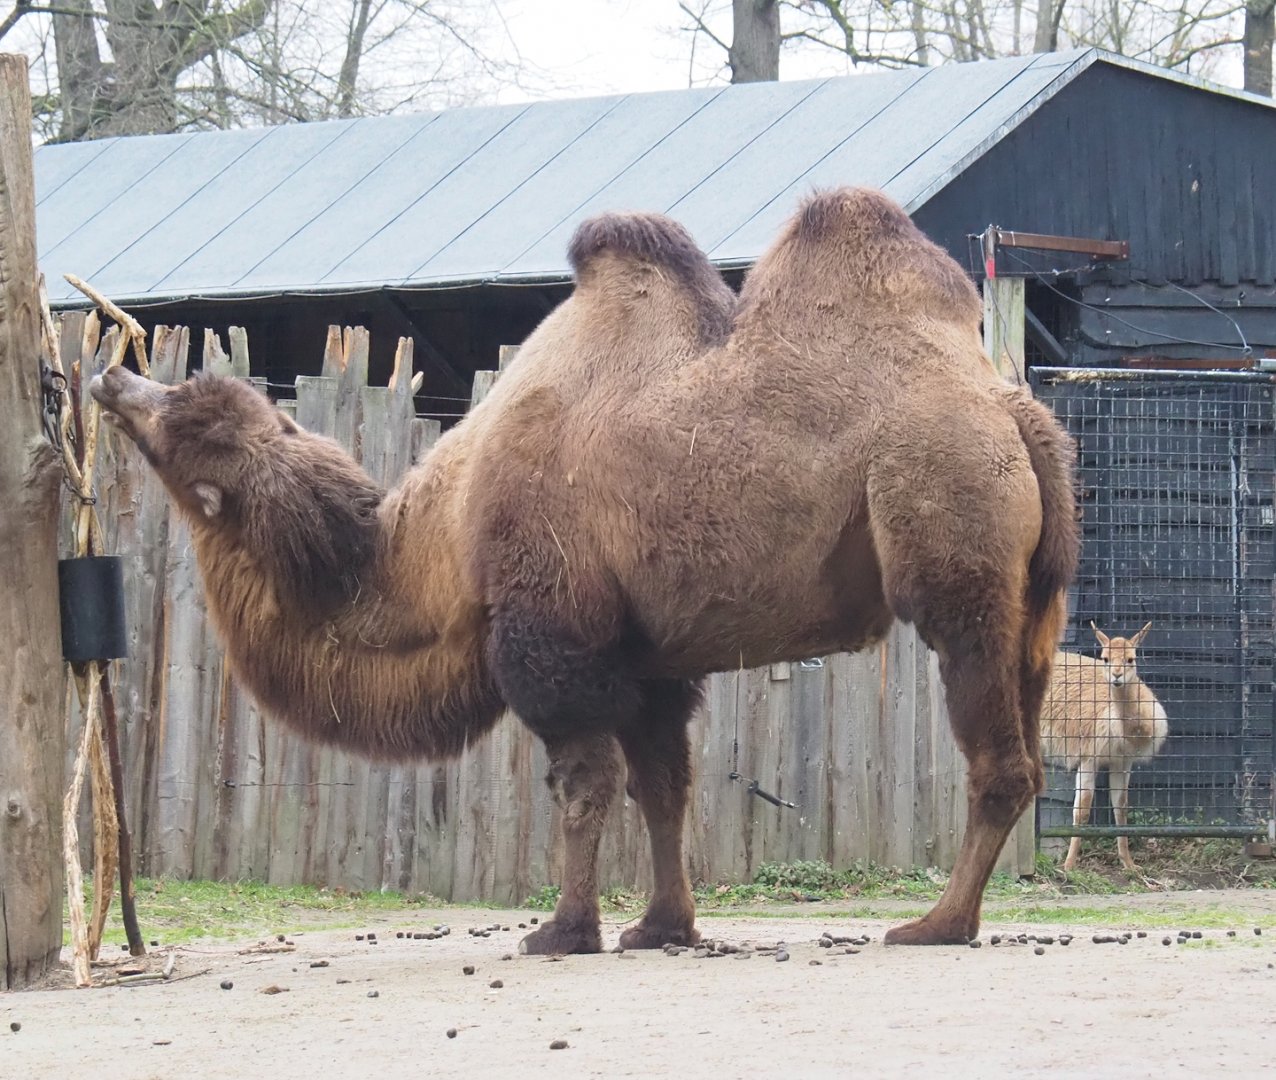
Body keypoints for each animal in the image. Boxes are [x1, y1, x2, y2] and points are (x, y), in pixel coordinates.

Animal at [92, 187, 1078, 950]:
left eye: (189, 423)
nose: (111, 378)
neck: (439, 551)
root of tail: (1016, 411)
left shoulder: (554, 635)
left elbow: (583, 785)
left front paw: (563, 930)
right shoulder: (647, 656)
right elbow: (663, 788)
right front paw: (661, 926)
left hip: (951, 536)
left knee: (998, 756)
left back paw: (936, 924)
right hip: (1035, 600)